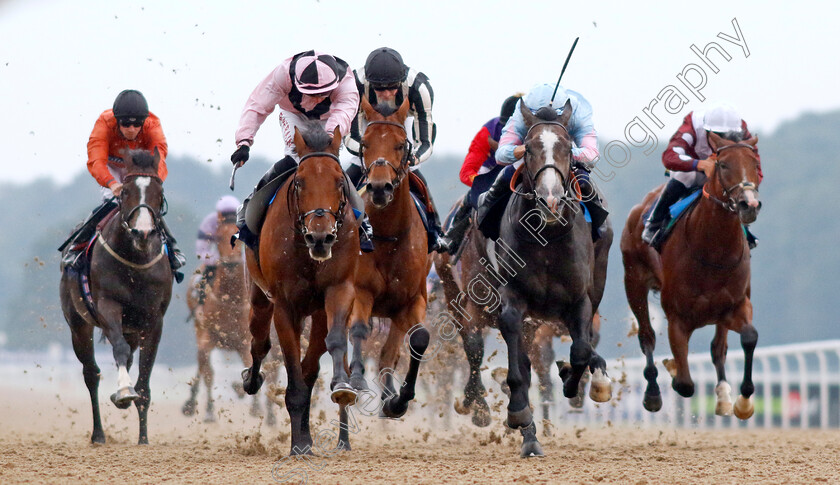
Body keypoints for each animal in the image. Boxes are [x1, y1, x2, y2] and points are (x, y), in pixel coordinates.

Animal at [59, 148, 174, 442]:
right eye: (126, 192)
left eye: (159, 191)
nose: (143, 232)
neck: (134, 259)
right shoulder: (107, 307)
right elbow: (118, 351)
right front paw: (123, 392)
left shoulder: (154, 320)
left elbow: (143, 382)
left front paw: (143, 439)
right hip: (78, 325)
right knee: (91, 373)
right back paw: (98, 434)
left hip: (131, 327)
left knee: (128, 358)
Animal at [182, 214, 278, 426]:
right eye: (217, 237)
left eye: (238, 236)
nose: (231, 263)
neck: (230, 301)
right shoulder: (206, 336)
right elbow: (208, 373)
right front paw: (209, 412)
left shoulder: (243, 340)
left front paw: (254, 404)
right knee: (201, 366)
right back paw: (190, 403)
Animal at [238, 122, 360, 454]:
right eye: (300, 183)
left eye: (339, 182)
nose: (321, 237)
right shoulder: (285, 305)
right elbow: (292, 367)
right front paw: (298, 446)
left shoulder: (337, 291)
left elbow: (328, 347)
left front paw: (342, 386)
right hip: (259, 297)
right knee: (259, 342)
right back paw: (251, 380)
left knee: (309, 365)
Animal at [344, 96, 434, 430]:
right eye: (365, 143)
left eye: (399, 144)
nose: (380, 188)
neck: (388, 235)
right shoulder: (360, 291)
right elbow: (358, 328)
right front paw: (356, 379)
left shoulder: (412, 299)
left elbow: (418, 340)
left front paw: (398, 400)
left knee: (389, 352)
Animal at [616, 130, 760, 418]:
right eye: (723, 164)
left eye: (755, 164)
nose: (748, 204)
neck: (714, 252)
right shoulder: (677, 318)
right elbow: (684, 384)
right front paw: (671, 371)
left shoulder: (735, 305)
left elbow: (748, 337)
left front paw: (743, 401)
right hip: (634, 282)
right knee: (647, 336)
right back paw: (652, 393)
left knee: (719, 348)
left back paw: (724, 395)